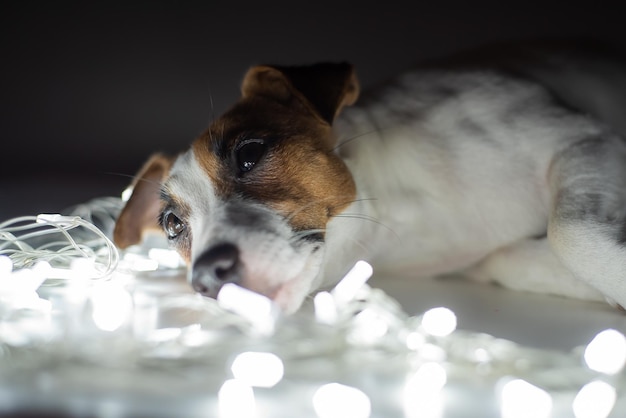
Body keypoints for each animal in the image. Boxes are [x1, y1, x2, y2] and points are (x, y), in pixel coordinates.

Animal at [112, 41, 624, 314]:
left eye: (250, 153)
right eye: (172, 224)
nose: (206, 276)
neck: (402, 214)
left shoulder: (584, 141)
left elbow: (570, 233)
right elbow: (516, 261)